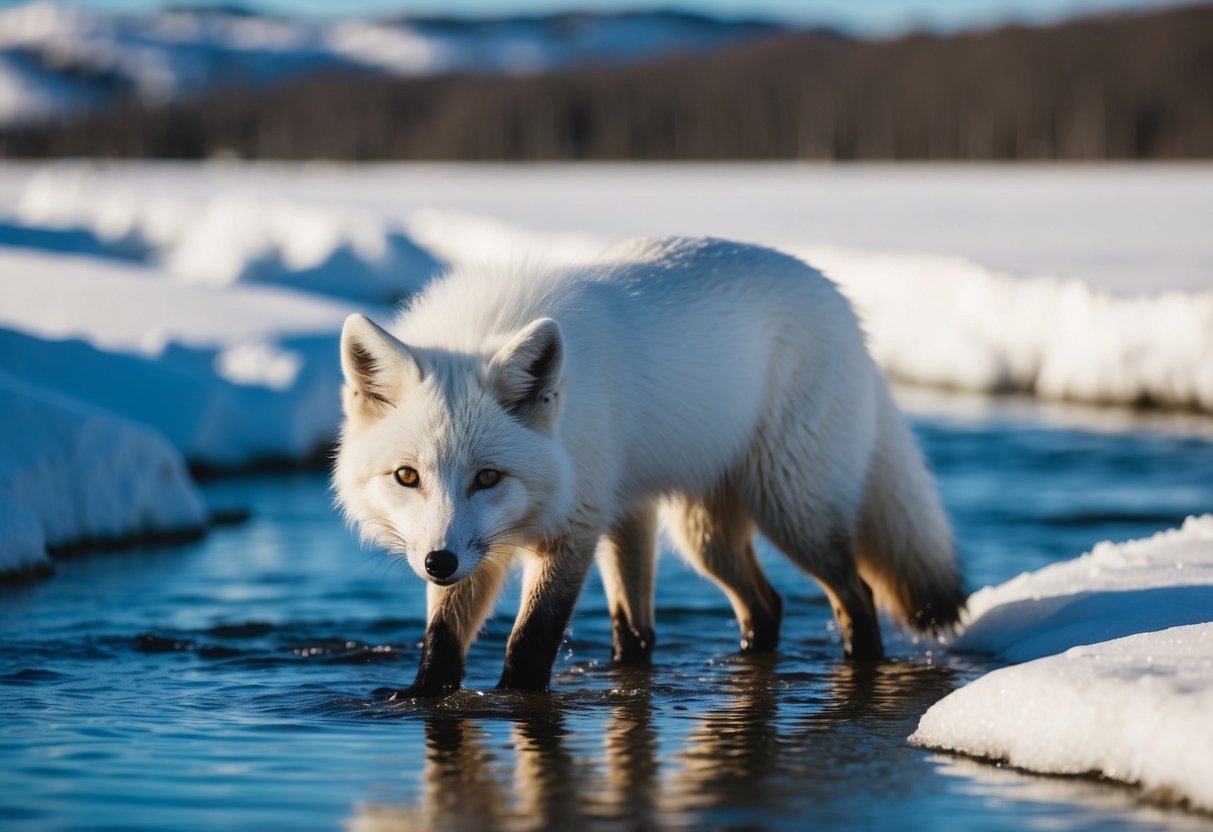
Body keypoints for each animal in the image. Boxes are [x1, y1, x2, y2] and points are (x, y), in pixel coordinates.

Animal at [333, 236, 965, 697]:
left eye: (487, 477)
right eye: (407, 476)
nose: (437, 563)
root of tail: (841, 301)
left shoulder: (575, 528)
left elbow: (530, 641)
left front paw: (514, 699)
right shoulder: (484, 552)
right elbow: (441, 643)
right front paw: (420, 697)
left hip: (792, 512)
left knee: (857, 595)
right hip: (700, 533)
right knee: (757, 609)